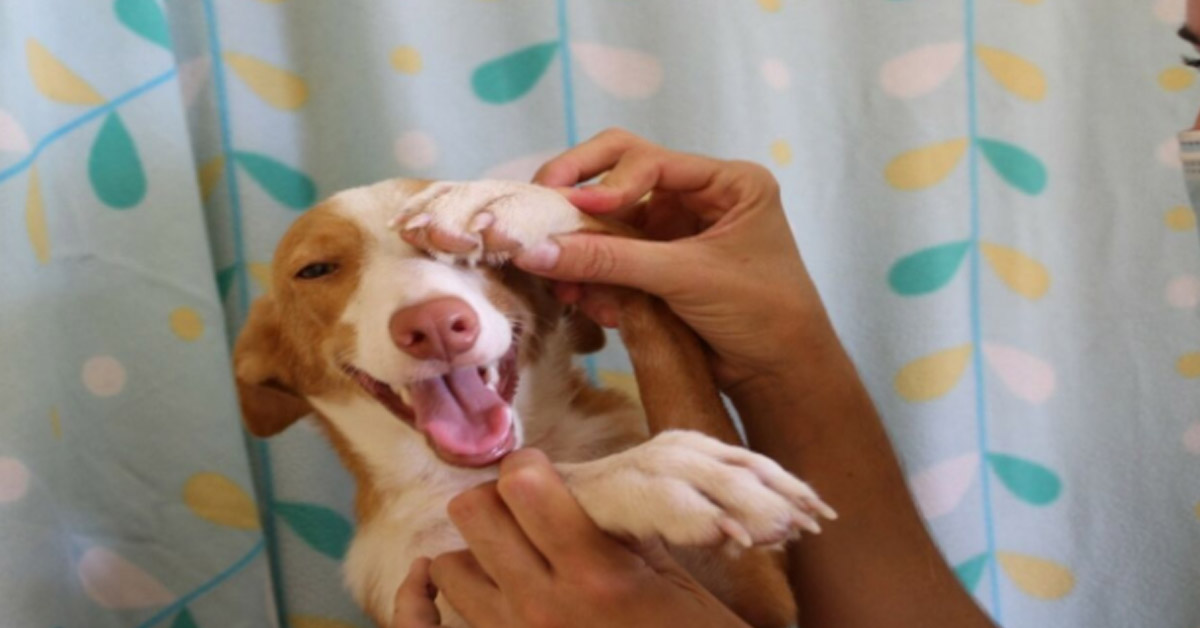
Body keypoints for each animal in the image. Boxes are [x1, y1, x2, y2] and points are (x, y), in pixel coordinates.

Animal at [234, 178, 835, 624]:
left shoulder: (760, 592)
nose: (435, 325)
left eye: (441, 250)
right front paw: (661, 472)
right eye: (315, 270)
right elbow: (521, 487)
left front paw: (510, 199)